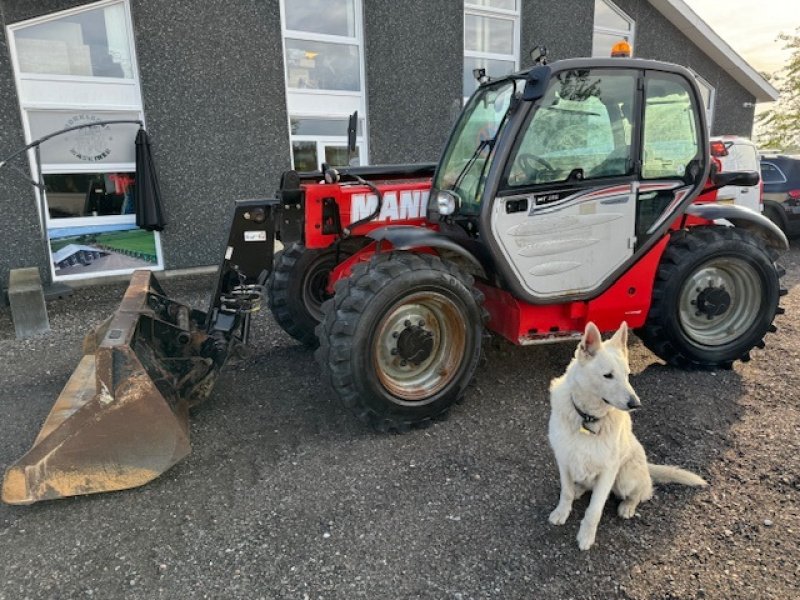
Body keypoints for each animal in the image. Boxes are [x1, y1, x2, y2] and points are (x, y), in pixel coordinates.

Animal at [552, 322, 708, 552]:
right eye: (608, 375)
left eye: (627, 375)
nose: (636, 404)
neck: (587, 419)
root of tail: (646, 466)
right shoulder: (564, 460)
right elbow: (566, 492)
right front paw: (562, 512)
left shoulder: (608, 470)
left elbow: (594, 509)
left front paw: (586, 536)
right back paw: (580, 489)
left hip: (625, 477)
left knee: (644, 492)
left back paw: (628, 506)